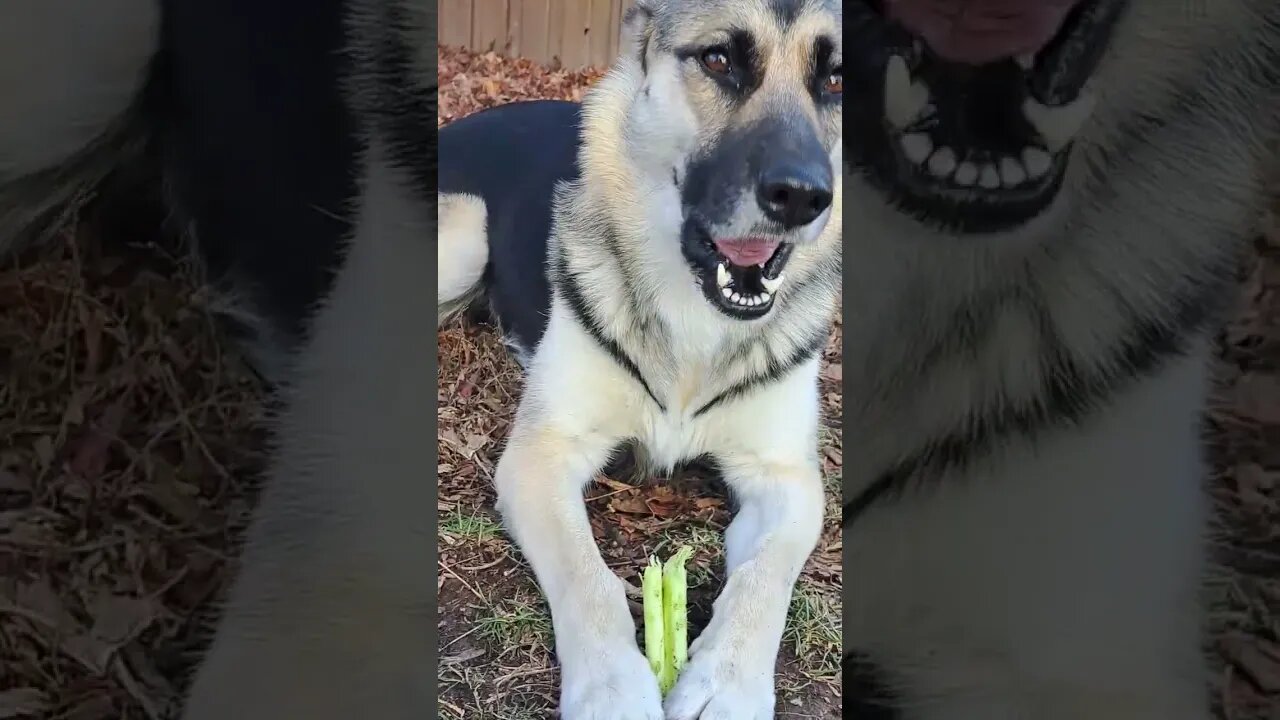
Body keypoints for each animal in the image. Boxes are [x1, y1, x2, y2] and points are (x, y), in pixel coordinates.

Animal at [435, 0, 844, 712]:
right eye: (719, 60)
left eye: (835, 78)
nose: (801, 197)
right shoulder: (543, 455)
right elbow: (588, 577)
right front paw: (612, 686)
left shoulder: (786, 482)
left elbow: (764, 578)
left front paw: (726, 685)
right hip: (463, 235)